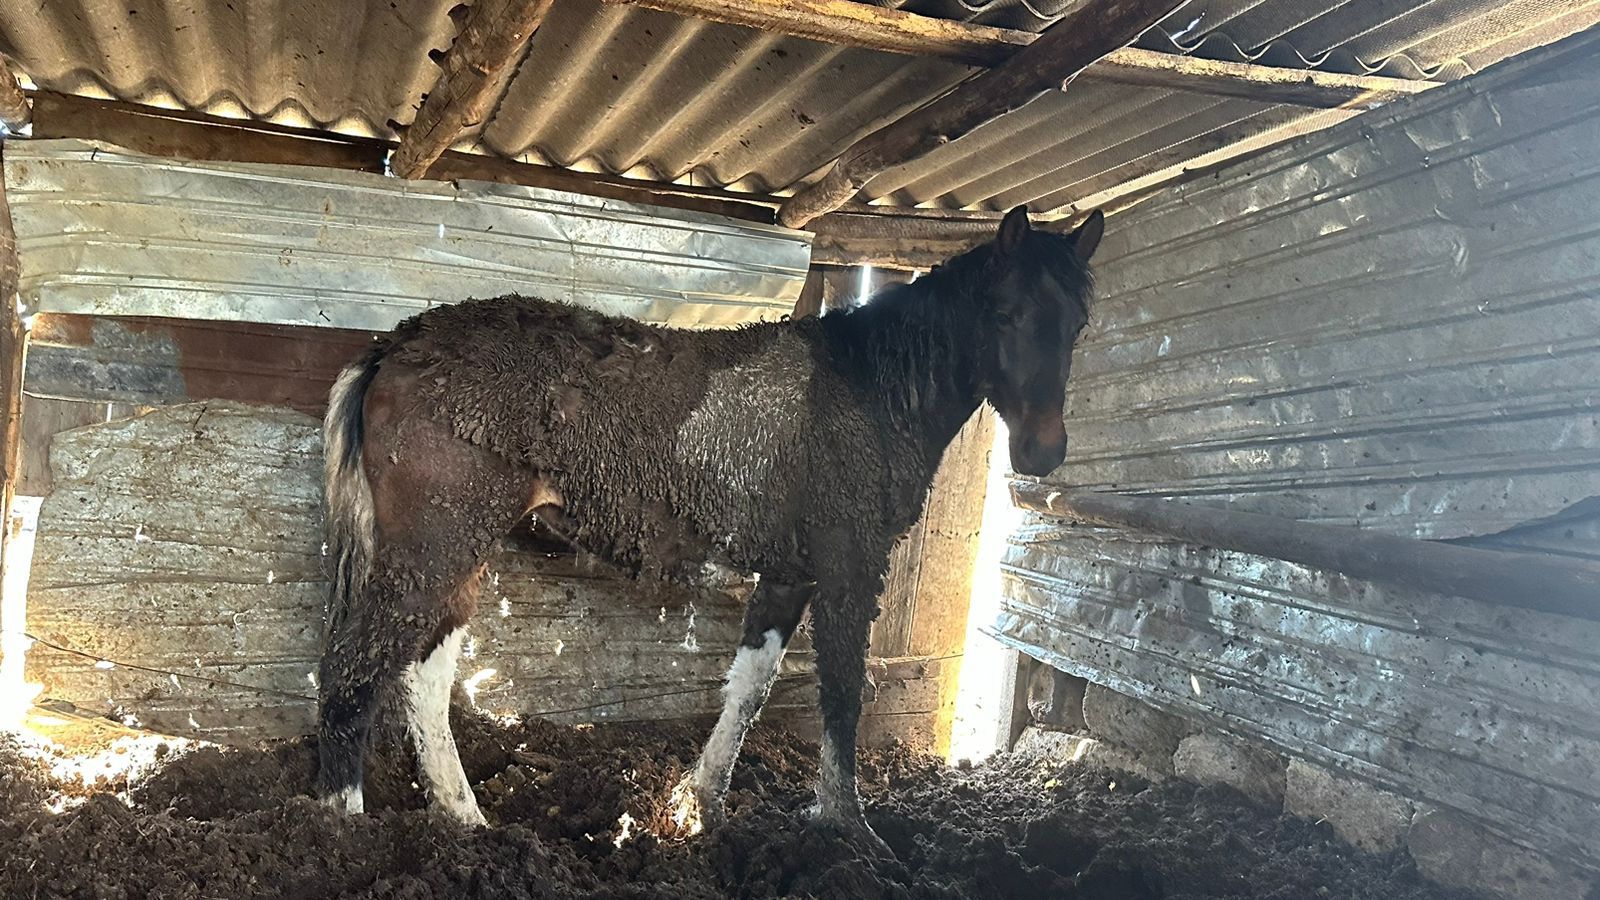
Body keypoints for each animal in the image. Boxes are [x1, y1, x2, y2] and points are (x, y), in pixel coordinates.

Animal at [312, 203, 1100, 845]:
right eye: (1005, 313)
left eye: (1078, 325)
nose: (1043, 452)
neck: (870, 385)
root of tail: (394, 345)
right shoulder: (850, 562)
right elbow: (843, 692)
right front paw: (847, 827)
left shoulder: (791, 572)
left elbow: (751, 686)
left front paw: (701, 805)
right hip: (438, 544)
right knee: (358, 667)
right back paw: (339, 830)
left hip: (456, 551)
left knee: (421, 673)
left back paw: (464, 816)